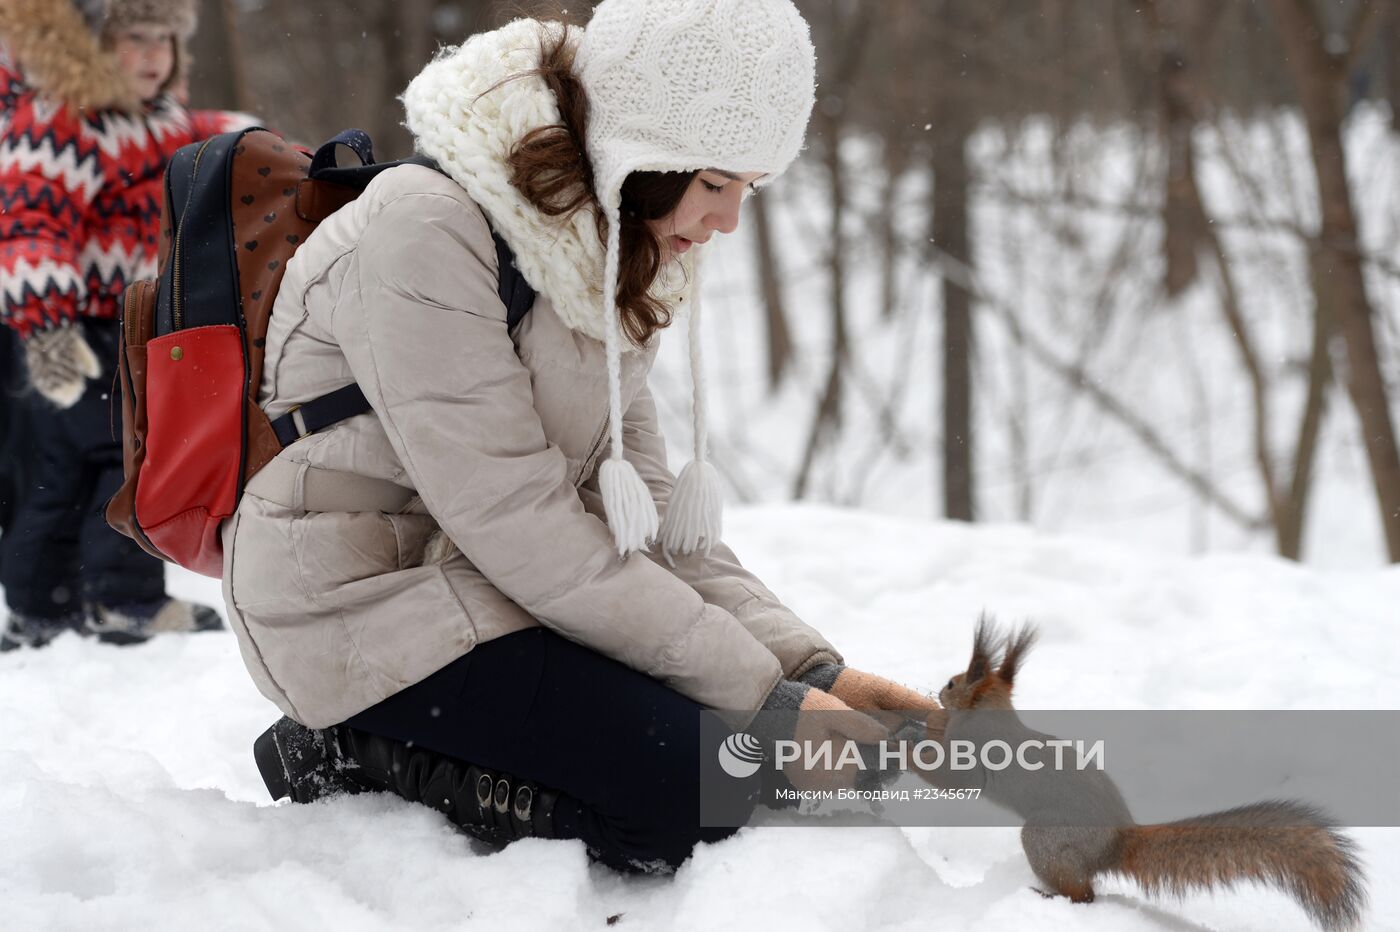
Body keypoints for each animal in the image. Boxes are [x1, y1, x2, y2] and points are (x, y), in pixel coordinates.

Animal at [918, 615, 1366, 929]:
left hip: (1048, 839)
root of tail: (1117, 840)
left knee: (1085, 894)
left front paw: (914, 746)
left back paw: (1054, 898)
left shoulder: (977, 756)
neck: (993, 715)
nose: (939, 692)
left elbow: (956, 779)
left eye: (954, 682)